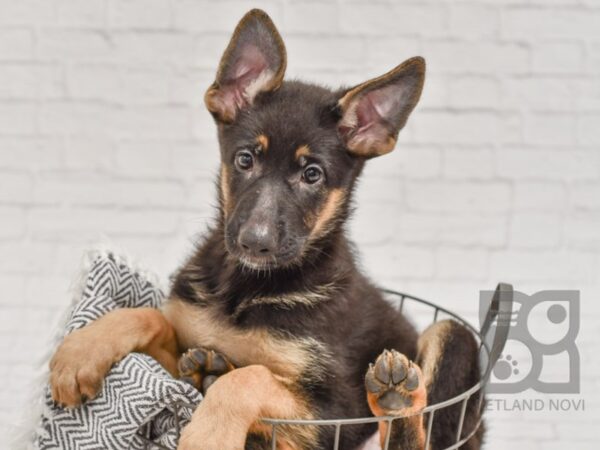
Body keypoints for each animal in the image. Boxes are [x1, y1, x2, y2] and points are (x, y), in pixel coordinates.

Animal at [50, 7, 482, 450]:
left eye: (312, 174)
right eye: (245, 159)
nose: (255, 244)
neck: (246, 288)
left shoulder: (335, 409)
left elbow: (249, 377)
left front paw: (207, 435)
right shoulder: (178, 356)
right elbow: (149, 317)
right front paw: (80, 352)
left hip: (451, 338)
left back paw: (397, 398)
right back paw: (207, 367)